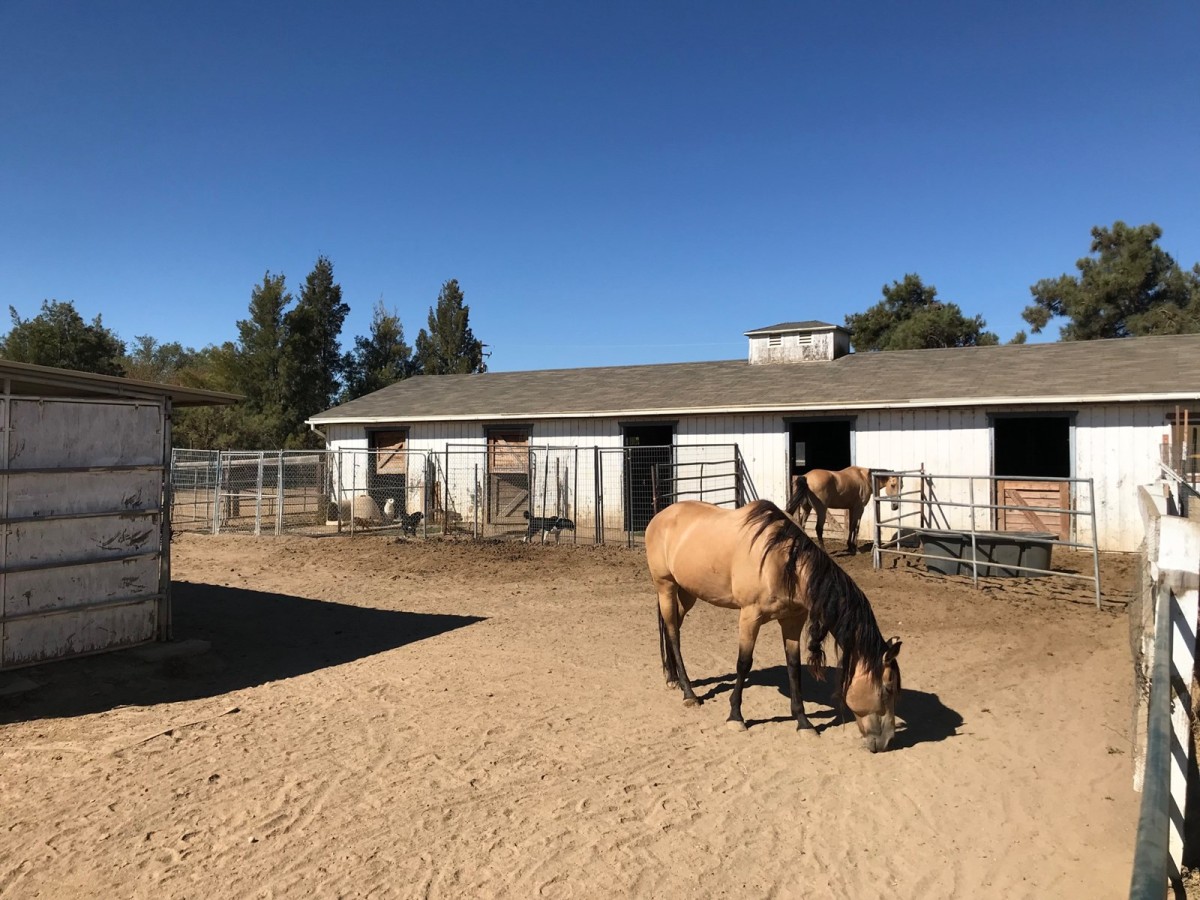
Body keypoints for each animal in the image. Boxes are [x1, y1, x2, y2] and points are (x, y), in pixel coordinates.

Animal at [648, 501, 902, 753]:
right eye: (887, 688)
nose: (887, 741)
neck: (783, 563)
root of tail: (660, 517)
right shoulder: (750, 616)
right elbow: (744, 663)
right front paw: (735, 717)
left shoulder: (792, 622)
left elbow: (794, 668)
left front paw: (803, 723)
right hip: (666, 586)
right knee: (673, 633)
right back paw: (689, 693)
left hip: (688, 591)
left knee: (672, 627)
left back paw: (672, 677)